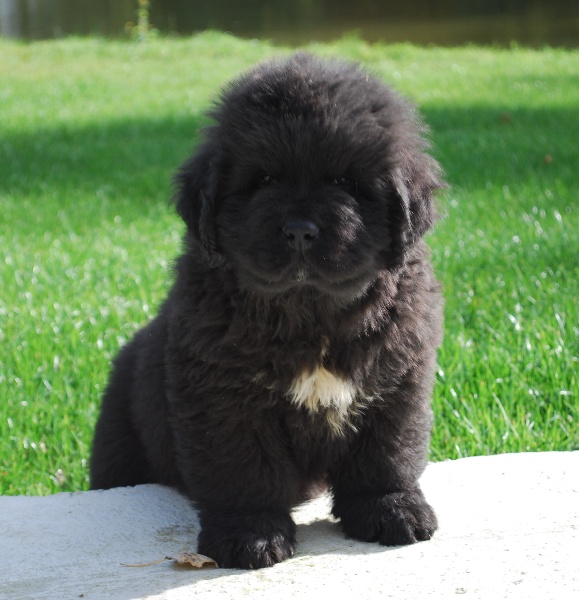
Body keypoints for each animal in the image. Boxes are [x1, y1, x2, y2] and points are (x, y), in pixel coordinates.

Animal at [89, 54, 444, 568]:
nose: (299, 230)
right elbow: (243, 470)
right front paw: (251, 535)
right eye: (263, 181)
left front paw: (392, 510)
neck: (309, 314)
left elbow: (387, 453)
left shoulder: (396, 380)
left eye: (345, 183)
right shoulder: (223, 398)